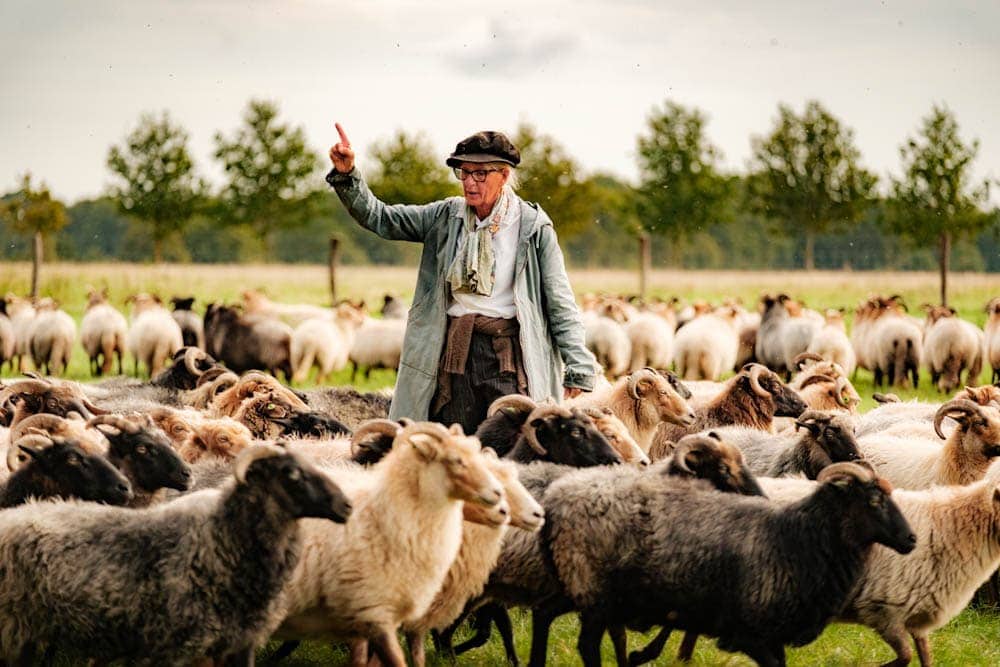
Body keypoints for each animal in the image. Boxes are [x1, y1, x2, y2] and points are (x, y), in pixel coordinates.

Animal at [544, 462, 916, 667]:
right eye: (874, 500)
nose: (911, 539)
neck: (794, 539)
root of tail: (562, 492)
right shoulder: (747, 634)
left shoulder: (774, 634)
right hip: (592, 590)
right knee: (587, 646)